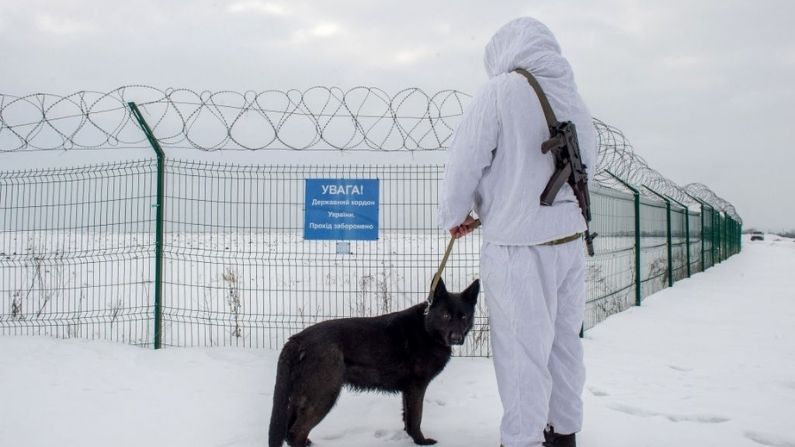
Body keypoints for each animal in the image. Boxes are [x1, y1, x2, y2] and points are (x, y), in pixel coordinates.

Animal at [268, 278, 478, 446]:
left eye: (464, 317)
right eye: (446, 316)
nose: (457, 338)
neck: (427, 329)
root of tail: (298, 339)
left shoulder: (408, 390)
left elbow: (408, 418)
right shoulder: (417, 387)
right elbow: (416, 417)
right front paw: (421, 441)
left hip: (302, 397)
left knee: (289, 429)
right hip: (324, 395)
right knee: (295, 432)